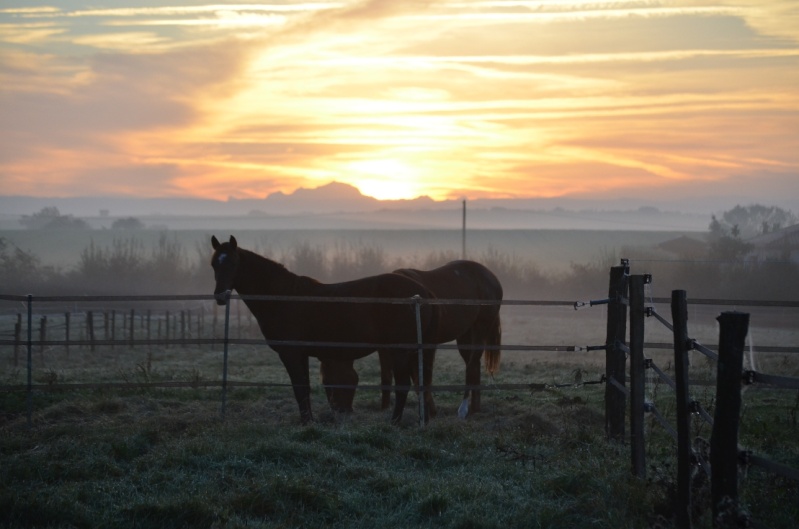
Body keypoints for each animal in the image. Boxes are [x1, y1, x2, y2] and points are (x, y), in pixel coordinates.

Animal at [211, 235, 438, 424]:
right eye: (213, 264)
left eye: (233, 263)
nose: (220, 296)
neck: (283, 297)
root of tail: (422, 292)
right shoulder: (301, 354)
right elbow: (304, 388)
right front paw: (309, 420)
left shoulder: (290, 353)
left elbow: (299, 388)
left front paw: (306, 423)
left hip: (400, 350)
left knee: (403, 385)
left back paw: (395, 422)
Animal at [380, 258, 504, 416]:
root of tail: (492, 277)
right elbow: (400, 377)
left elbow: (422, 378)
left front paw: (429, 410)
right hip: (464, 335)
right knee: (474, 365)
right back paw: (474, 408)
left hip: (480, 329)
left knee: (471, 367)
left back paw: (463, 409)